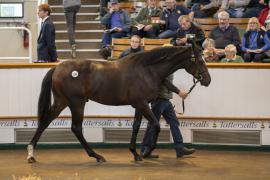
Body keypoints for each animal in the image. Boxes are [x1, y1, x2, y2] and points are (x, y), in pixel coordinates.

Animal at [26, 42, 211, 163]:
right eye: (200, 60)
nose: (207, 80)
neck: (146, 70)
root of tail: (57, 67)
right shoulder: (142, 104)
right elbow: (156, 125)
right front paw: (146, 153)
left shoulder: (139, 105)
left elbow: (136, 126)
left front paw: (135, 154)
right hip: (76, 103)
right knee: (76, 128)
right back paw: (97, 156)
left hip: (62, 101)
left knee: (45, 122)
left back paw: (31, 154)